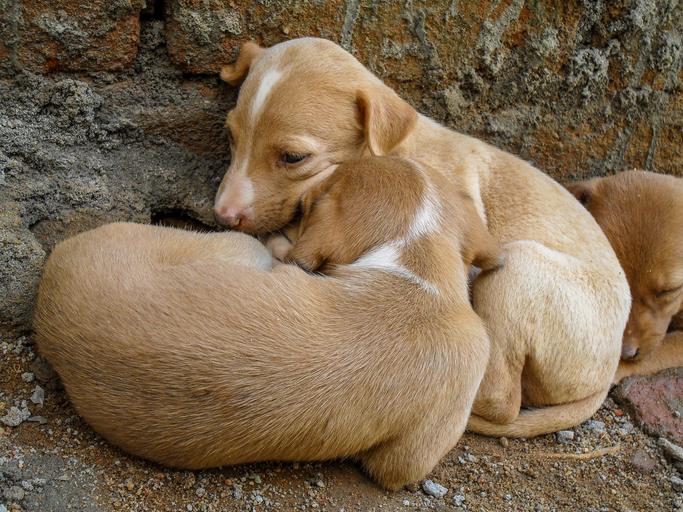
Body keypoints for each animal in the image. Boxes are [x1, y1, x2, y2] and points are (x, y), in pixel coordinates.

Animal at [212, 38, 632, 436]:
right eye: (230, 136)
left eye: (294, 157)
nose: (222, 214)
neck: (399, 147)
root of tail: (606, 373)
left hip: (520, 267)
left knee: (500, 397)